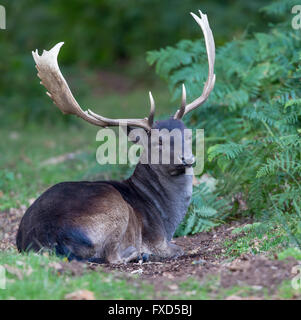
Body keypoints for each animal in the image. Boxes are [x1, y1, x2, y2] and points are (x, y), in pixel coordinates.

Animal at [16, 11, 214, 264]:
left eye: (188, 135)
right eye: (158, 141)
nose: (187, 159)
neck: (166, 219)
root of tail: (49, 239)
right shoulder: (158, 239)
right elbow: (177, 248)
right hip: (114, 207)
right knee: (111, 256)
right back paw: (139, 253)